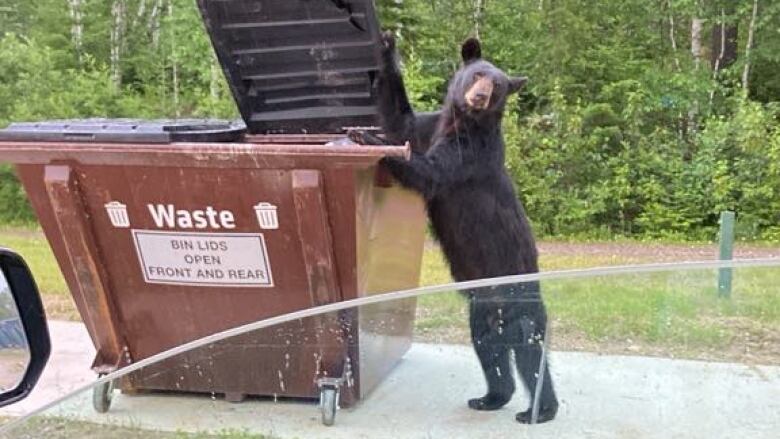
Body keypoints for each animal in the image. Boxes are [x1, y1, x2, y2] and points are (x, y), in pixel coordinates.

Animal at [350, 32, 556, 424]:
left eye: (498, 86)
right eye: (477, 75)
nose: (479, 96)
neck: (460, 122)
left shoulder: (469, 153)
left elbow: (431, 172)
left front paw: (373, 142)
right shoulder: (430, 126)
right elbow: (401, 120)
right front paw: (386, 47)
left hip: (518, 298)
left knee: (529, 349)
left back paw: (539, 411)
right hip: (483, 311)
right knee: (489, 348)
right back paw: (491, 397)